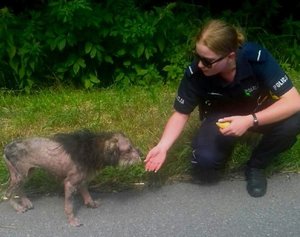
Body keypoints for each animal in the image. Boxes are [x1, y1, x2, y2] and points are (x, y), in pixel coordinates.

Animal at [2, 130, 142, 226]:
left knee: (18, 189)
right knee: (8, 193)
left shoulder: (82, 181)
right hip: (20, 175)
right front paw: (72, 221)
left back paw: (26, 202)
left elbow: (87, 194)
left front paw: (91, 204)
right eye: (128, 149)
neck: (92, 149)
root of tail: (6, 148)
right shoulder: (70, 183)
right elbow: (69, 206)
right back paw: (18, 207)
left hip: (26, 173)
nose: (141, 154)